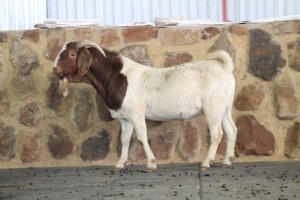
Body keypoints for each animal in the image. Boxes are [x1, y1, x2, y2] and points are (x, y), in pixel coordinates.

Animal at [52, 39, 238, 171]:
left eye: (72, 54)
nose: (54, 69)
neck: (118, 77)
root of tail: (224, 68)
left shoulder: (136, 113)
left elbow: (141, 137)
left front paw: (151, 163)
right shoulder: (125, 118)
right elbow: (124, 139)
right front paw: (120, 164)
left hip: (212, 107)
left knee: (217, 133)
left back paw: (206, 163)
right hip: (224, 108)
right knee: (231, 130)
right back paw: (227, 161)